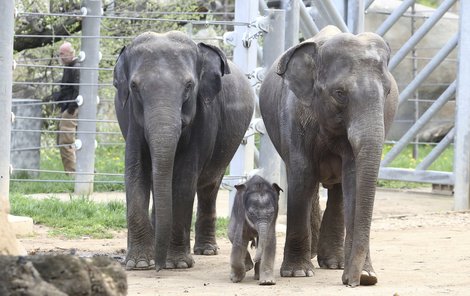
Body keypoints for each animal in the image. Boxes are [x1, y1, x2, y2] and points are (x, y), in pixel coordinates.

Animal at [113, 31, 253, 272]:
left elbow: (184, 178)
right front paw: (139, 263)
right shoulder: (132, 119)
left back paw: (206, 250)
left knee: (209, 185)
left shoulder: (204, 117)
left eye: (189, 86)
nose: (158, 268)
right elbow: (136, 170)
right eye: (134, 86)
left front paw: (176, 263)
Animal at [258, 26, 398, 286]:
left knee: (338, 189)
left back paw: (334, 263)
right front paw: (297, 273)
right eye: (340, 93)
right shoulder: (295, 114)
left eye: (387, 92)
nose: (354, 281)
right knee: (309, 182)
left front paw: (364, 274)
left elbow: (353, 176)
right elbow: (302, 172)